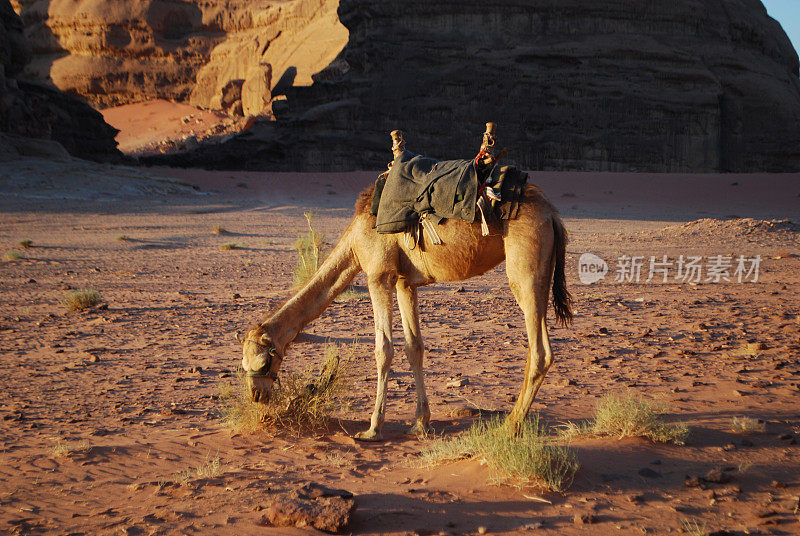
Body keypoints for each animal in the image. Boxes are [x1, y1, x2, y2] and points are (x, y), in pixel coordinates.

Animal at [238, 176, 576, 440]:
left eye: (263, 362)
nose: (256, 395)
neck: (356, 238)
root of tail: (553, 215)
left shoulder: (378, 275)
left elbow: (383, 349)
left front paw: (372, 429)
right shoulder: (404, 282)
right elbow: (414, 347)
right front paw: (420, 423)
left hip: (525, 265)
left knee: (540, 349)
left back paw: (511, 426)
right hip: (541, 270)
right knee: (537, 344)